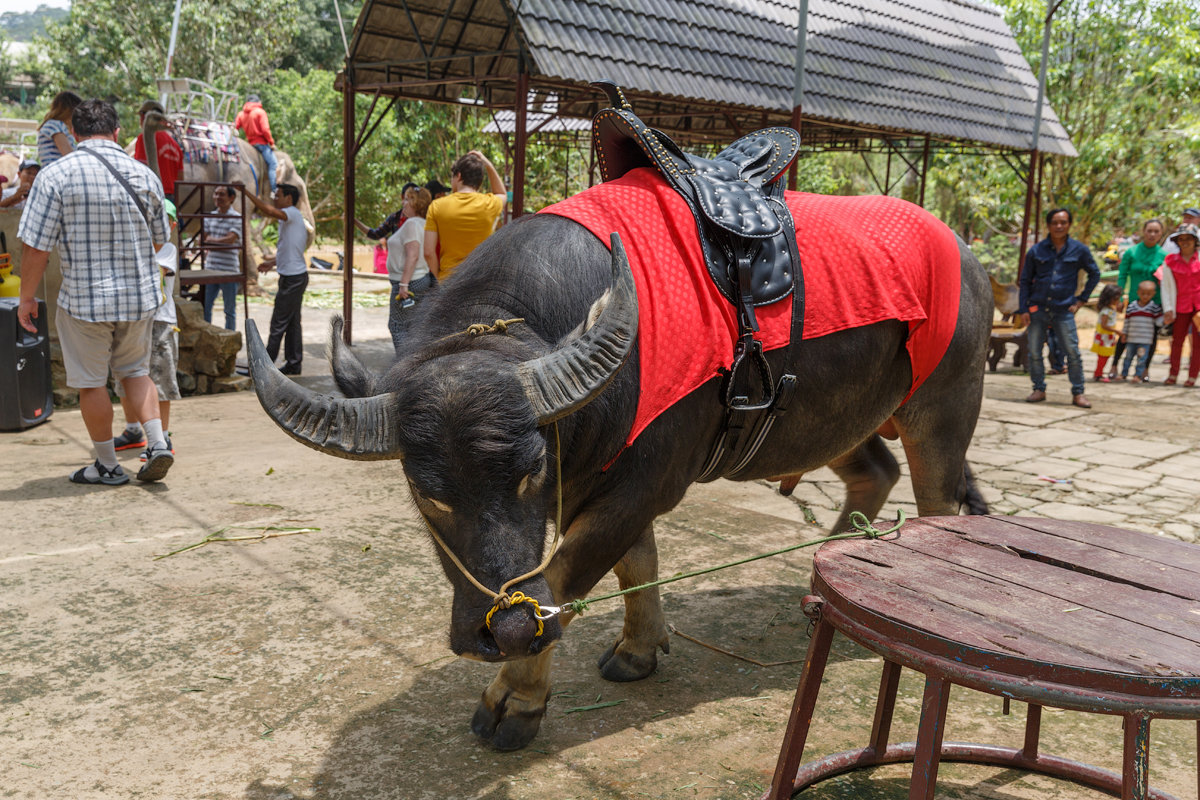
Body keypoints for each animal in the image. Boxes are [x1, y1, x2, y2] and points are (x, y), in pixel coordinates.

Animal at [248, 191, 988, 753]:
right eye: (426, 495)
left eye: (530, 472)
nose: (498, 632)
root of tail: (969, 258)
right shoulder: (604, 477)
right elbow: (635, 562)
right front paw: (638, 649)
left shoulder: (640, 484)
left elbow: (562, 581)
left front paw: (515, 698)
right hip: (836, 416)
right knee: (876, 471)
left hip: (943, 402)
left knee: (937, 498)